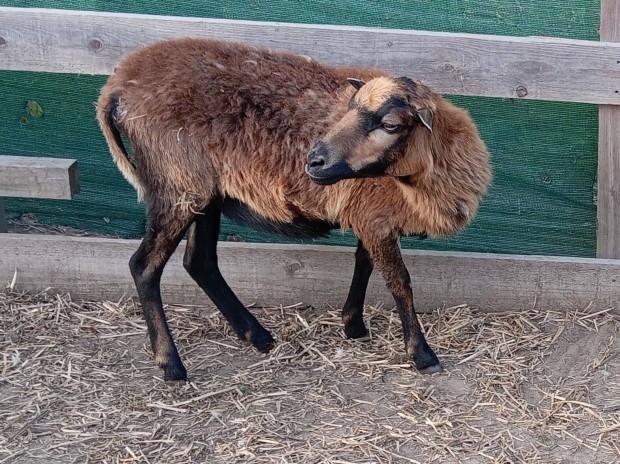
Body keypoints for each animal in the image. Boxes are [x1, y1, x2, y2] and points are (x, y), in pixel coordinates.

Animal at [97, 38, 492, 380]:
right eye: (349, 109)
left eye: (390, 124)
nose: (313, 161)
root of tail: (116, 85)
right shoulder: (376, 218)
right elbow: (400, 282)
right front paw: (422, 354)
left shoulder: (369, 216)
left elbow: (363, 264)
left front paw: (353, 324)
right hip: (177, 184)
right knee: (144, 267)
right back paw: (171, 364)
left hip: (204, 193)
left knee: (200, 262)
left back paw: (256, 335)